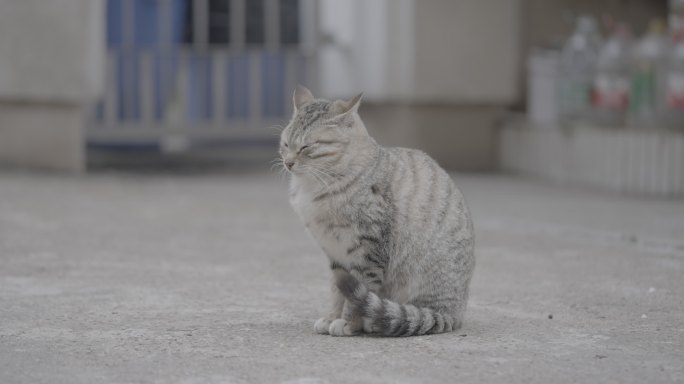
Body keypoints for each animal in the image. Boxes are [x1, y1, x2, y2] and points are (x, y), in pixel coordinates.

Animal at [280, 86, 476, 336]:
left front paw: (348, 323)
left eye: (306, 147)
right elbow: (337, 291)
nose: (288, 163)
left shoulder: (368, 251)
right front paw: (331, 317)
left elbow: (357, 295)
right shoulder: (336, 256)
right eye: (286, 144)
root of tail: (453, 313)